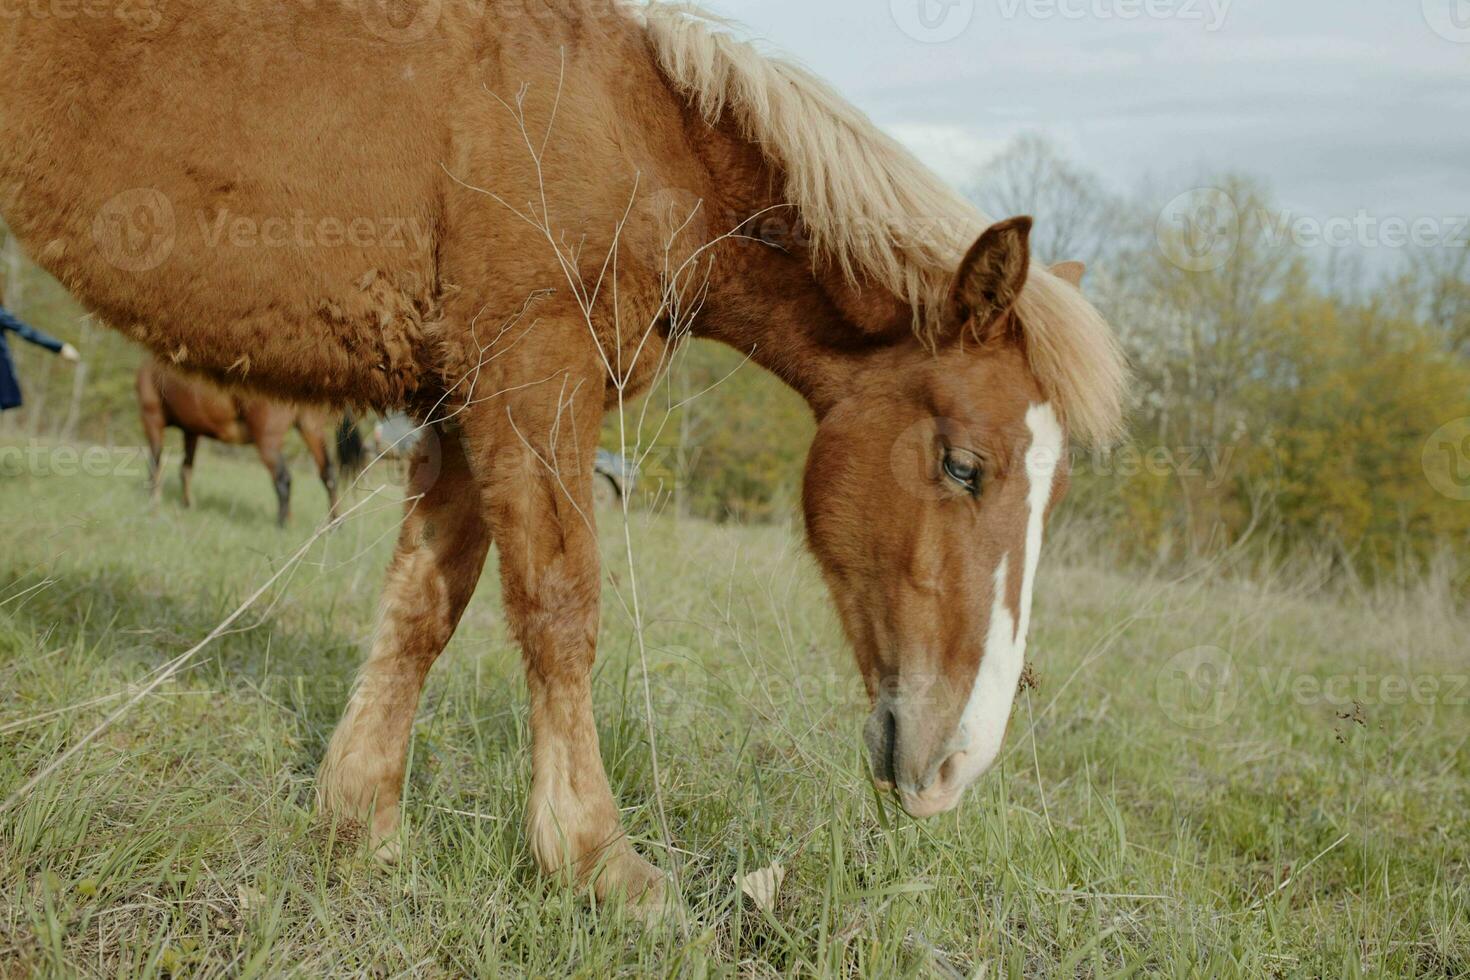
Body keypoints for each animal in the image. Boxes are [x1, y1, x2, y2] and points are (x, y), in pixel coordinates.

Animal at [136, 358, 339, 528]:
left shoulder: (152, 418)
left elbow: (155, 463)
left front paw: (153, 501)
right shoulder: (191, 431)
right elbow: (186, 468)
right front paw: (187, 504)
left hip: (268, 440)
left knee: (283, 479)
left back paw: (281, 526)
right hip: (311, 428)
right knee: (328, 474)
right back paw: (334, 525)